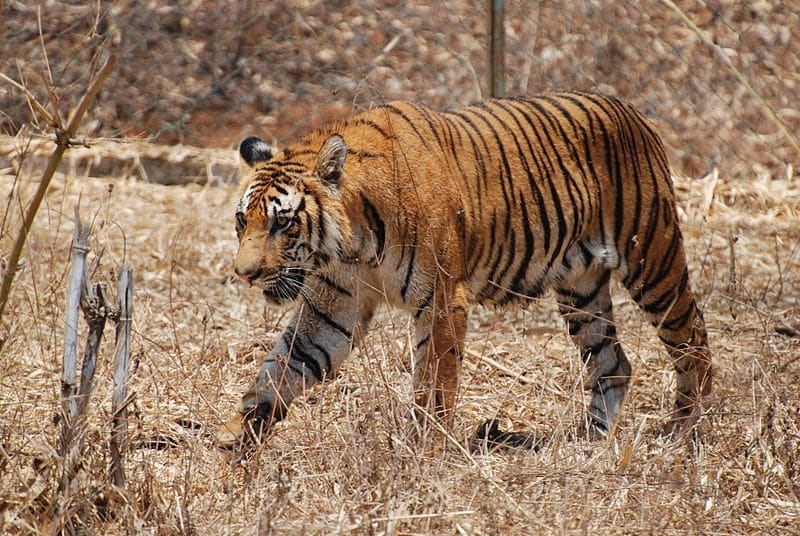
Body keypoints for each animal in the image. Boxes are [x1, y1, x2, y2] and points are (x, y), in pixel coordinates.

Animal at [214, 92, 713, 448]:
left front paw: (423, 454)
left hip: (653, 260)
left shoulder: (441, 300)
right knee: (612, 362)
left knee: (692, 338)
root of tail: (632, 112)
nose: (244, 274)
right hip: (581, 290)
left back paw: (689, 430)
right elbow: (280, 370)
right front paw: (238, 449)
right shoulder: (332, 307)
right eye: (242, 220)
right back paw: (588, 441)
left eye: (282, 222)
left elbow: (433, 386)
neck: (351, 243)